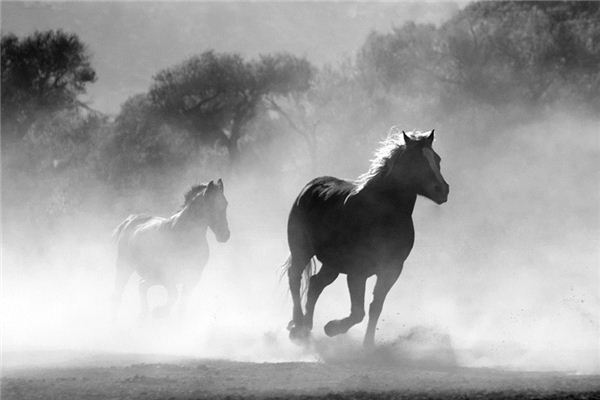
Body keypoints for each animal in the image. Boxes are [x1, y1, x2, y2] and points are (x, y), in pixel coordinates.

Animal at [112, 180, 230, 318]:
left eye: (225, 204)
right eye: (211, 205)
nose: (225, 235)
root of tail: (130, 220)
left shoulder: (193, 278)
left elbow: (182, 305)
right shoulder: (168, 276)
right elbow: (174, 296)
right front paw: (159, 311)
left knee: (142, 286)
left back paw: (144, 314)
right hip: (124, 267)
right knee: (118, 294)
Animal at [284, 129, 448, 346]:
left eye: (437, 159)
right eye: (415, 160)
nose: (443, 190)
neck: (382, 214)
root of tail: (310, 186)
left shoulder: (391, 270)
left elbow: (375, 307)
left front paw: (368, 345)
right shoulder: (357, 272)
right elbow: (358, 312)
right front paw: (332, 328)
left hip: (332, 264)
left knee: (315, 283)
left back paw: (306, 327)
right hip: (301, 250)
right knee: (295, 278)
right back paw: (297, 326)